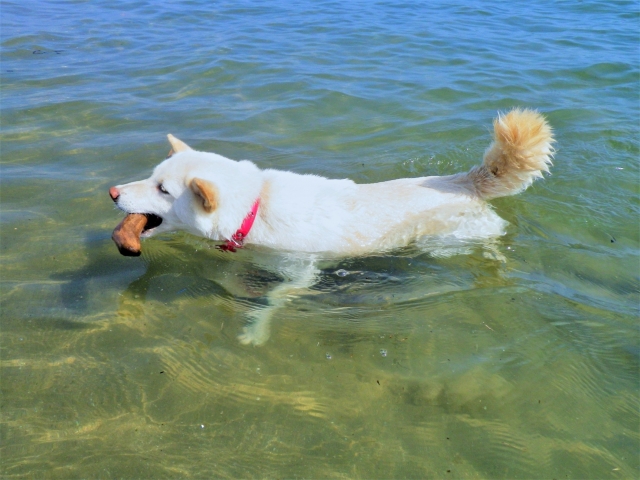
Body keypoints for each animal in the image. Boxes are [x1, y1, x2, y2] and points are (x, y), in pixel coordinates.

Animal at [112, 108, 552, 342]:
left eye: (163, 189)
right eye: (152, 176)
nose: (114, 192)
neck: (256, 204)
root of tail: (465, 180)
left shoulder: (301, 272)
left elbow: (274, 300)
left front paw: (255, 329)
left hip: (449, 243)